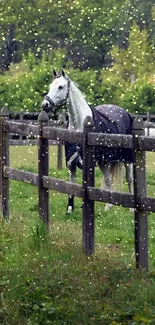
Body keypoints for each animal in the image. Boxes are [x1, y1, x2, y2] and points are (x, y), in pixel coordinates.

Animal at [42, 69, 133, 211]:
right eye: (50, 86)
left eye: (61, 87)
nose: (45, 105)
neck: (79, 125)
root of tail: (123, 112)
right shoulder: (71, 163)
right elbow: (71, 184)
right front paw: (70, 209)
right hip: (104, 162)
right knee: (108, 179)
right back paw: (108, 208)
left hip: (126, 160)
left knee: (129, 178)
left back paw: (131, 208)